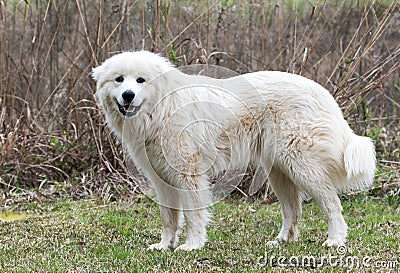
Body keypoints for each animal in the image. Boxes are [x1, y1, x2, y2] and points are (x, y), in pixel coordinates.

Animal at [92, 50, 376, 250]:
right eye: (119, 80)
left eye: (140, 80)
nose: (128, 95)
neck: (162, 106)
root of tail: (323, 93)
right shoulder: (162, 180)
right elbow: (169, 219)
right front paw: (164, 246)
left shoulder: (189, 176)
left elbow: (193, 216)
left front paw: (191, 245)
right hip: (279, 172)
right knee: (293, 211)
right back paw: (281, 241)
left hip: (302, 168)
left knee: (332, 205)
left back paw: (335, 240)